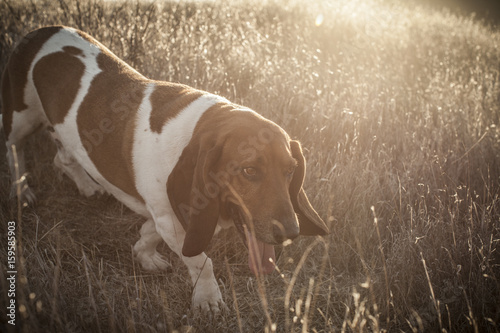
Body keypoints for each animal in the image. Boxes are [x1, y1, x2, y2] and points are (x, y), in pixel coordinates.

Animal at [1, 26, 330, 314]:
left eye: (291, 170)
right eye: (249, 170)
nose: (291, 233)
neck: (201, 127)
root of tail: (38, 32)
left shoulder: (165, 216)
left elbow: (150, 233)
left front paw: (144, 255)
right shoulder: (172, 220)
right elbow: (201, 262)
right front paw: (208, 300)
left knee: (64, 159)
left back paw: (87, 186)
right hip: (21, 119)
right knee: (14, 150)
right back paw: (22, 190)